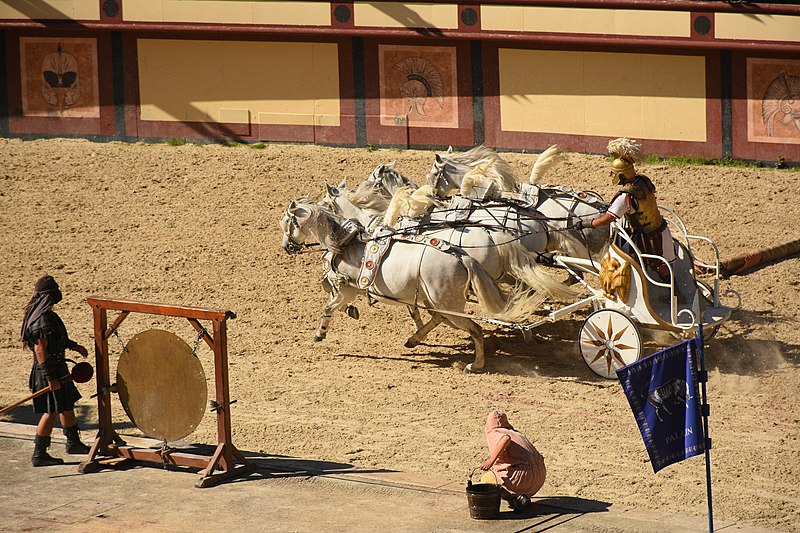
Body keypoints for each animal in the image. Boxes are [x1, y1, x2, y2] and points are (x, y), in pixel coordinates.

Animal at [278, 198, 548, 370]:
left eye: (287, 222)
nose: (286, 247)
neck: (346, 244)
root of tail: (463, 257)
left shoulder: (347, 289)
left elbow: (330, 306)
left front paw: (320, 333)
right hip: (441, 300)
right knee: (444, 318)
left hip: (449, 304)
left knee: (475, 329)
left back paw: (475, 364)